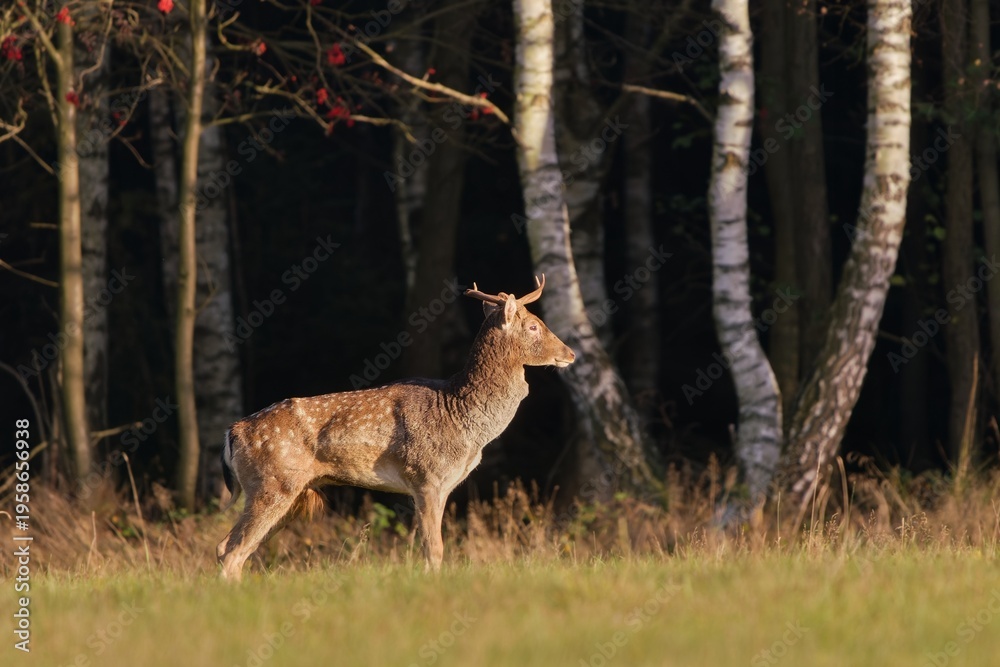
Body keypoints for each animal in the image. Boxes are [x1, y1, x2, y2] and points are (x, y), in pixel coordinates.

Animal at [216, 275, 575, 579]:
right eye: (533, 326)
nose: (570, 353)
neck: (461, 416)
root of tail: (233, 432)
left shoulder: (443, 484)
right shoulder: (427, 475)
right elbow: (434, 548)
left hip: (290, 493)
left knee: (228, 548)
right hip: (273, 483)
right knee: (233, 551)